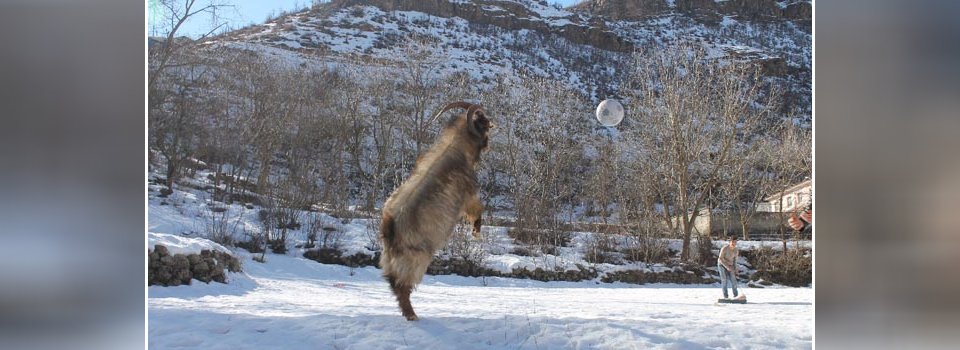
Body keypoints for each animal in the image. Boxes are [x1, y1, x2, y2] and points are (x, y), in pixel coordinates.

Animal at [376, 100, 492, 320]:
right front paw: (476, 229)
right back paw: (411, 314)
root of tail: (389, 227)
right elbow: (476, 209)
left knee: (392, 281)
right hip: (417, 259)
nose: (493, 124)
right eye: (483, 120)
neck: (455, 145)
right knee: (402, 285)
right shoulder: (469, 194)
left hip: (392, 259)